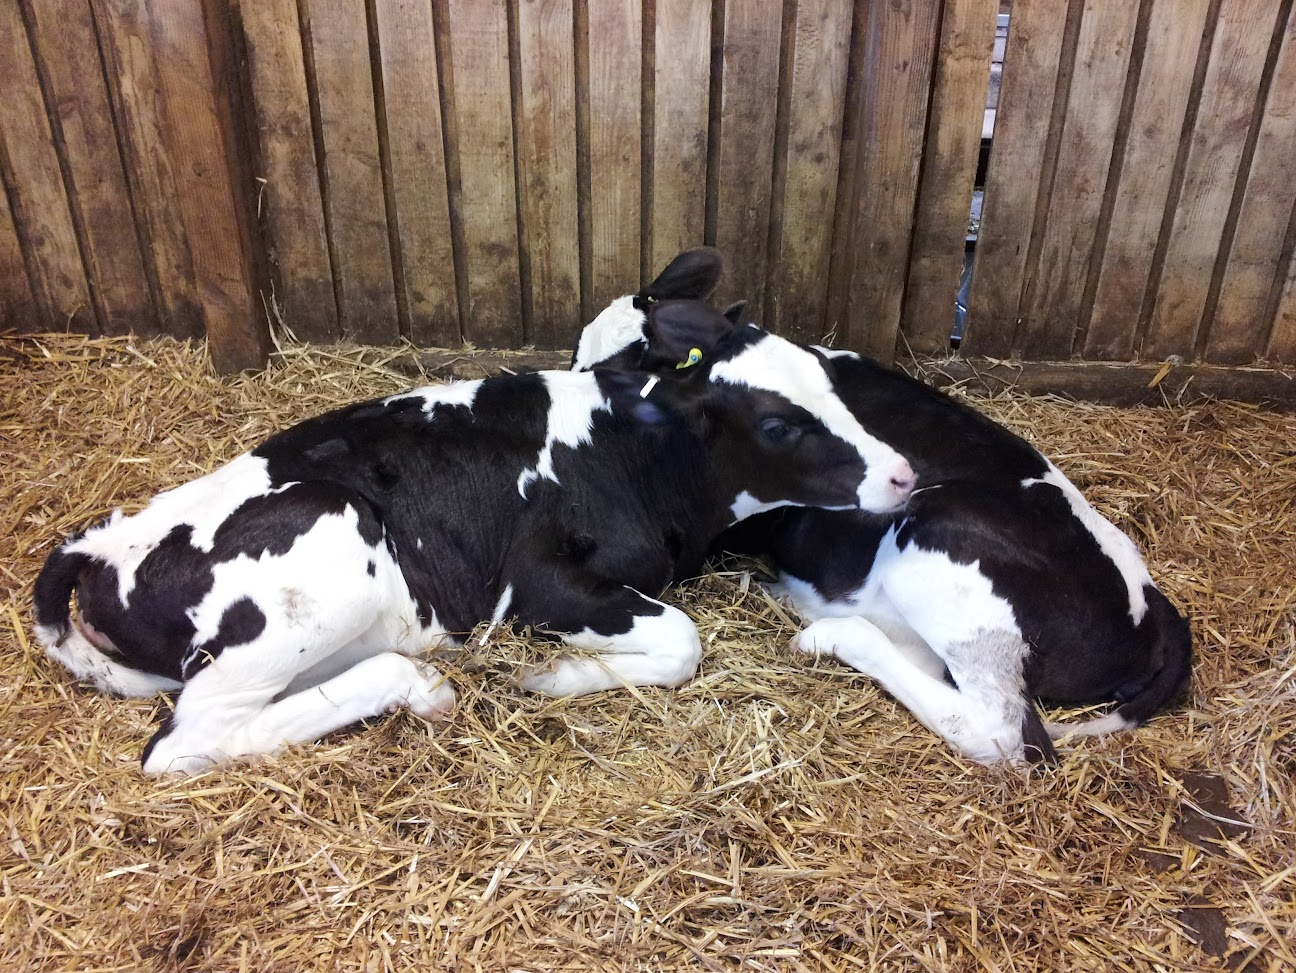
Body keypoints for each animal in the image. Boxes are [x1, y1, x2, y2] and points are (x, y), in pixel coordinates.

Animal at [32, 249, 916, 775]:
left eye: (830, 381)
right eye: (778, 424)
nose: (905, 474)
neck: (633, 452)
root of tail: (102, 545)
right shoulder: (532, 584)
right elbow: (681, 639)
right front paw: (553, 674)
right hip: (325, 546)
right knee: (184, 742)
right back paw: (419, 687)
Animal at [572, 256, 1192, 764]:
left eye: (636, 362)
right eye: (579, 353)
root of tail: (1157, 607)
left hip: (942, 541)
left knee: (999, 731)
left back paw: (827, 633)